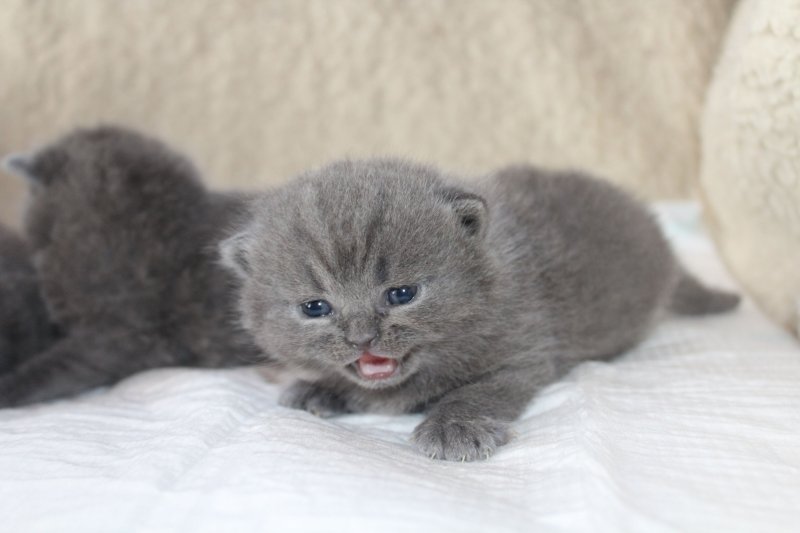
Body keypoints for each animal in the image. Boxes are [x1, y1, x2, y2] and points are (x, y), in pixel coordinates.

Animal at [220, 158, 740, 461]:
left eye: (401, 294)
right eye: (316, 307)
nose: (362, 337)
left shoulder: (522, 352)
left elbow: (479, 391)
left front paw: (455, 428)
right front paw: (316, 388)